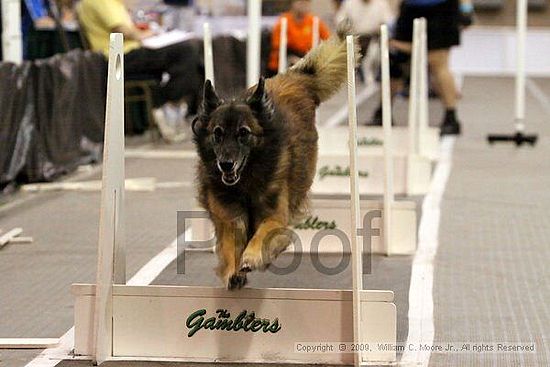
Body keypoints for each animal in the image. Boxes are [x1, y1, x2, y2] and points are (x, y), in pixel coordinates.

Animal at [193, 25, 358, 290]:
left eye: (243, 133)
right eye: (217, 134)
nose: (225, 164)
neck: (246, 182)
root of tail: (295, 79)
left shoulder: (276, 215)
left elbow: (263, 234)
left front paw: (252, 257)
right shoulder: (228, 215)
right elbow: (230, 242)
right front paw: (233, 272)